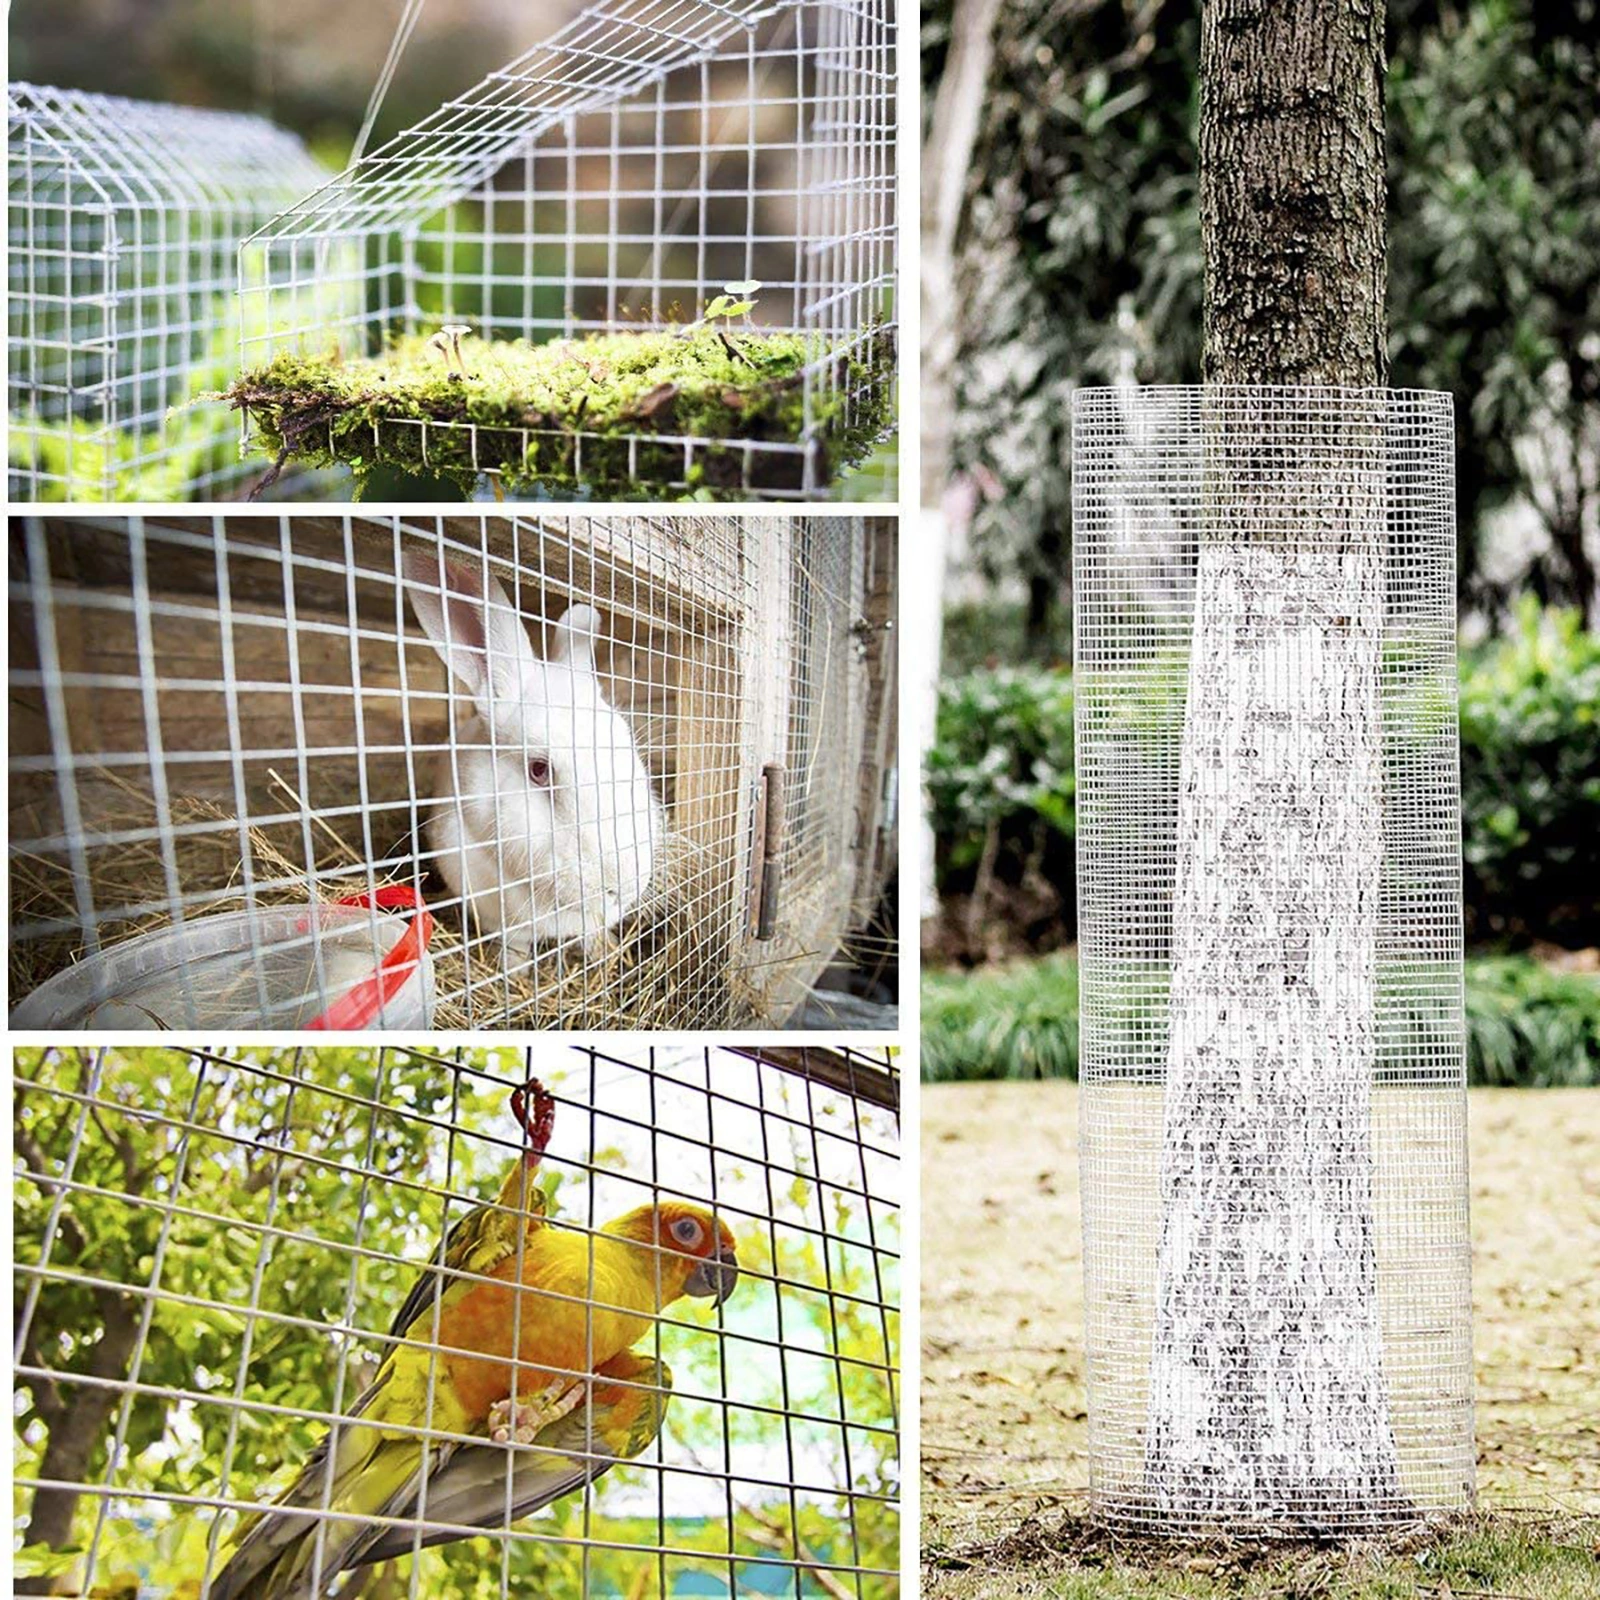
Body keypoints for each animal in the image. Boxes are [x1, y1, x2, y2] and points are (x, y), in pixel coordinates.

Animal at [402, 548, 665, 961]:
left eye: (629, 752)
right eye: (539, 769)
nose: (623, 886)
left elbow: (591, 933)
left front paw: (604, 951)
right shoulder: (501, 917)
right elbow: (516, 949)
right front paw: (515, 966)